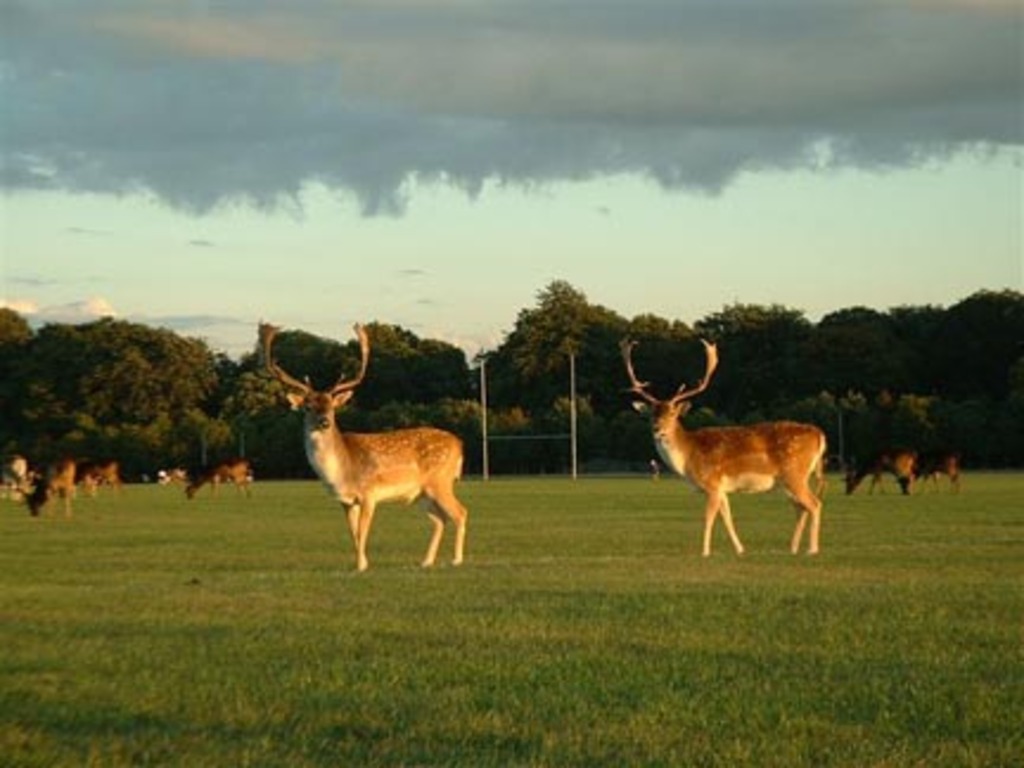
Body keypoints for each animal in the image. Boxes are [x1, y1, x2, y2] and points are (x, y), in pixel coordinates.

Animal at [259, 321, 468, 572]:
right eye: (308, 407)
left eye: (332, 407)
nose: (325, 422)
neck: (342, 472)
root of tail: (459, 444)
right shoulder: (345, 501)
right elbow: (353, 534)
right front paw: (362, 563)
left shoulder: (369, 494)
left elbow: (362, 532)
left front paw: (361, 566)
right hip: (421, 493)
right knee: (440, 519)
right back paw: (426, 562)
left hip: (440, 480)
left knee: (460, 512)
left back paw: (457, 560)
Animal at [621, 338, 827, 556]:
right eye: (652, 414)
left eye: (673, 414)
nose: (657, 429)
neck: (688, 457)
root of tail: (819, 434)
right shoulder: (722, 490)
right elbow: (727, 518)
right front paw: (740, 549)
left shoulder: (712, 483)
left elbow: (708, 519)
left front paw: (704, 552)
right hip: (787, 481)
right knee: (801, 508)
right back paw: (793, 548)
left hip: (794, 473)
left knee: (814, 504)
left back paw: (812, 549)